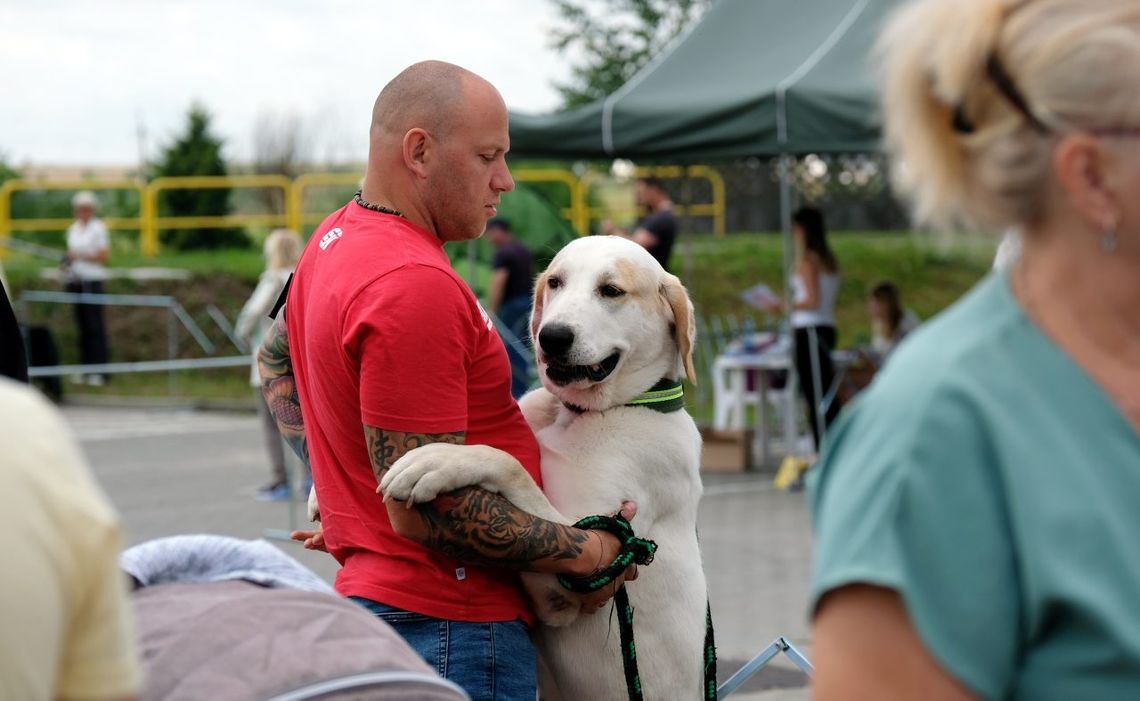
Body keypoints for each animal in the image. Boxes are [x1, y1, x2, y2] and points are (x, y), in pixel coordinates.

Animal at [380, 237, 702, 701]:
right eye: (555, 282)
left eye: (611, 291)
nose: (553, 336)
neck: (579, 414)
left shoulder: (574, 576)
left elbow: (510, 463)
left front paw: (438, 461)